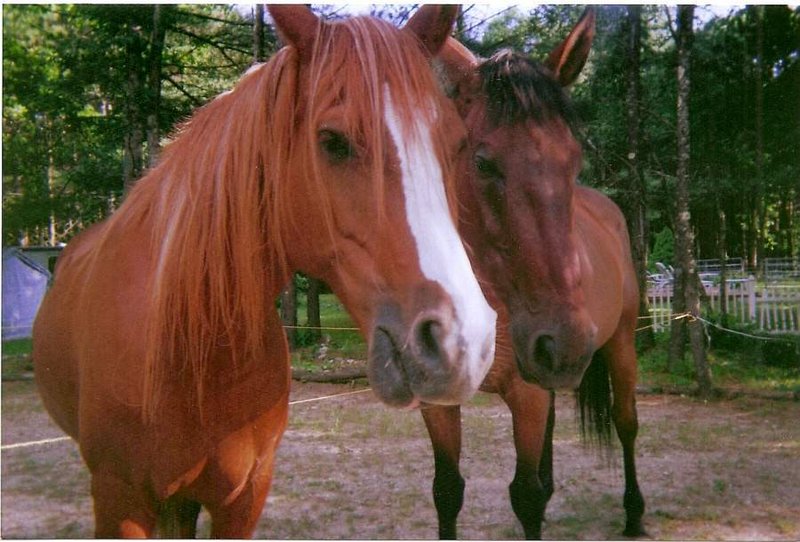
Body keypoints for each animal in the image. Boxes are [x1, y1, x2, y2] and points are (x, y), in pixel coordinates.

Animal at [34, 5, 496, 540]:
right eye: (332, 141)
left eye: (455, 144)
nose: (464, 342)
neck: (190, 350)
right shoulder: (120, 502)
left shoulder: (244, 496)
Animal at [422, 10, 648, 540]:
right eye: (482, 162)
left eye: (574, 159)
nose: (565, 342)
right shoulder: (439, 399)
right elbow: (448, 491)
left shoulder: (524, 392)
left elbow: (525, 495)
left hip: (619, 343)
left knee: (625, 421)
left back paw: (633, 514)